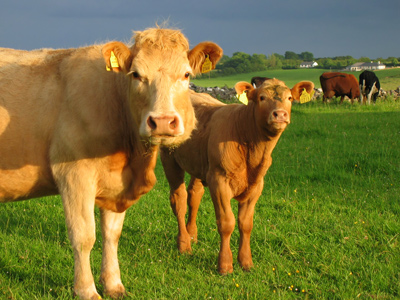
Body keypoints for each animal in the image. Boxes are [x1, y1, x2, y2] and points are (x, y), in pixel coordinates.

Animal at [0, 27, 223, 298]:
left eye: (186, 74)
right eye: (136, 74)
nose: (162, 121)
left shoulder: (117, 184)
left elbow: (112, 234)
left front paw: (113, 284)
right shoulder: (74, 176)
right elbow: (84, 236)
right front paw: (86, 289)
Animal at [161, 78, 314, 274]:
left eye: (289, 98)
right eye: (262, 97)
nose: (280, 114)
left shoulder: (256, 185)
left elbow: (246, 224)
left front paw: (246, 262)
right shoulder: (219, 181)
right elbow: (227, 223)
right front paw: (225, 265)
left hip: (199, 164)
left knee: (194, 196)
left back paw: (192, 235)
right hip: (169, 157)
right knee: (178, 200)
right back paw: (184, 244)